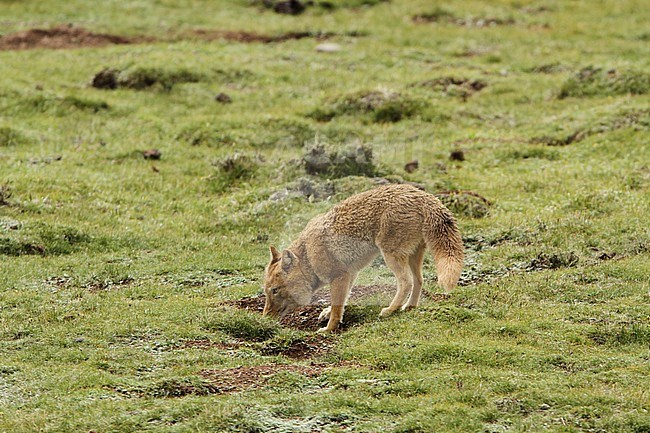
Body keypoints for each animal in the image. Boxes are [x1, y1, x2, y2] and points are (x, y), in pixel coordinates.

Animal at [260, 182, 464, 330]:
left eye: (274, 291)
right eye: (268, 292)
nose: (264, 318)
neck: (308, 255)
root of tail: (424, 195)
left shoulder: (339, 276)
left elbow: (337, 307)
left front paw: (329, 329)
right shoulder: (349, 274)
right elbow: (341, 302)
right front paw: (327, 313)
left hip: (391, 256)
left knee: (406, 282)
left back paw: (391, 309)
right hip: (413, 257)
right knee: (419, 280)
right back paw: (409, 307)